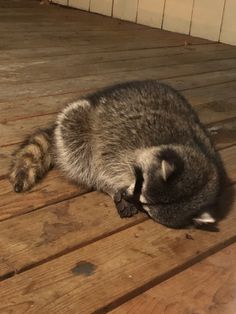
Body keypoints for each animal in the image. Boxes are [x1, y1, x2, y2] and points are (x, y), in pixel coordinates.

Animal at [9, 80, 223, 228]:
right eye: (140, 184)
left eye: (145, 208)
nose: (127, 196)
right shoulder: (125, 139)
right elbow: (103, 165)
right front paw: (110, 185)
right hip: (77, 122)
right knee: (77, 151)